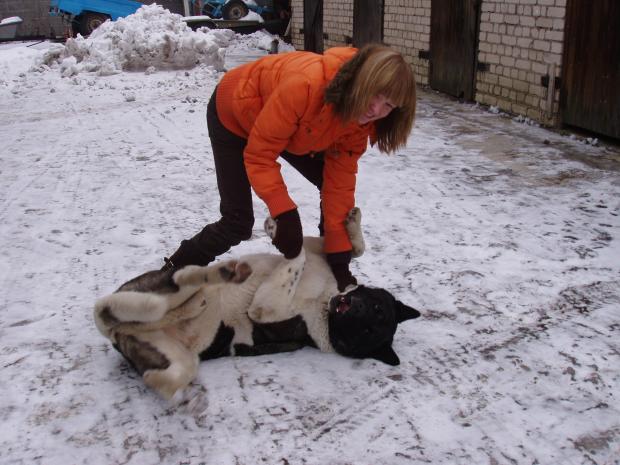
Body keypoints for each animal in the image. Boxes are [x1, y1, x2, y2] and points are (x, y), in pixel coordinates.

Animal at [93, 207, 422, 398]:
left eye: (368, 331)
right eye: (376, 307)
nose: (357, 309)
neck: (324, 302)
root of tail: (118, 334)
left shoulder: (265, 308)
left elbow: (295, 256)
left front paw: (279, 232)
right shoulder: (323, 255)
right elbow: (350, 249)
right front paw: (351, 224)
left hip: (175, 343)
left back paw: (207, 281)